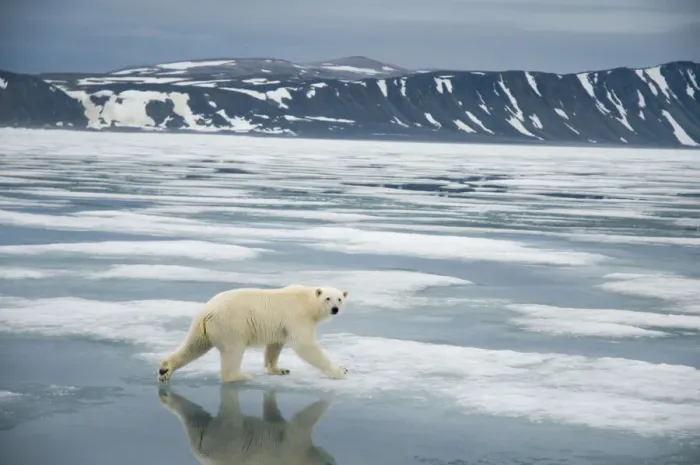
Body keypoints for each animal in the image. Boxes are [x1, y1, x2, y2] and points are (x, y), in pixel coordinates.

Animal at [157, 284, 349, 383]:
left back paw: (165, 369)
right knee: (233, 352)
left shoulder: (280, 325)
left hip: (203, 328)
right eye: (328, 298)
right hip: (231, 325)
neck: (308, 302)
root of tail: (206, 312)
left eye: (340, 298)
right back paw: (240, 376)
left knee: (194, 345)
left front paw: (279, 370)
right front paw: (340, 370)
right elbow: (305, 346)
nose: (335, 309)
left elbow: (274, 346)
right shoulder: (298, 317)